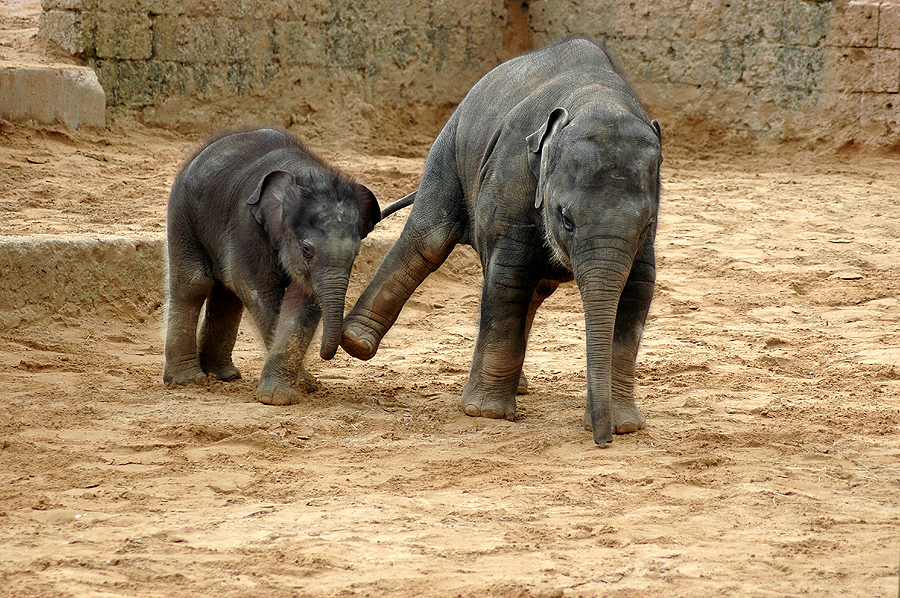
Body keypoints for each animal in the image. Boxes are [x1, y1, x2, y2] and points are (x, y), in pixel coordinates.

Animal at [163, 128, 382, 406]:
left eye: (356, 253)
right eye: (307, 250)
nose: (328, 354)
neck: (306, 174)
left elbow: (303, 301)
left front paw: (288, 392)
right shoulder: (246, 226)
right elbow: (260, 292)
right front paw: (298, 387)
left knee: (227, 293)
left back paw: (223, 376)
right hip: (183, 215)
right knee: (194, 283)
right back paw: (188, 380)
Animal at [342, 39, 664, 448]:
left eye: (646, 225)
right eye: (566, 218)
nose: (602, 440)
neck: (597, 97)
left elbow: (638, 290)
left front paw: (625, 426)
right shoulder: (513, 177)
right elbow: (510, 272)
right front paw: (487, 414)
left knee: (535, 288)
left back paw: (520, 385)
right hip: (450, 147)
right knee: (430, 239)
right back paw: (355, 342)